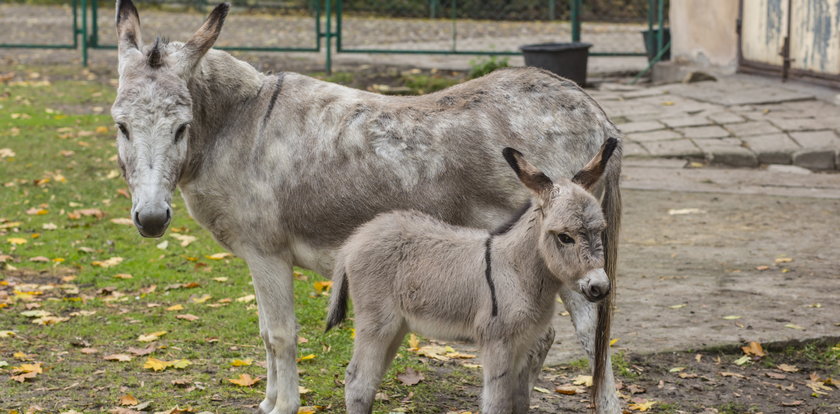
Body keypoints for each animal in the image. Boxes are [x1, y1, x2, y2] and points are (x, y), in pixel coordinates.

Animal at [324, 138, 620, 410]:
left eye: (601, 230)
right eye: (564, 237)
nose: (600, 287)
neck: (518, 272)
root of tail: (355, 239)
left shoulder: (524, 346)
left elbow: (520, 402)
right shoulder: (497, 344)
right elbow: (496, 404)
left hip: (397, 326)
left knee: (369, 378)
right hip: (376, 322)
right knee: (358, 382)